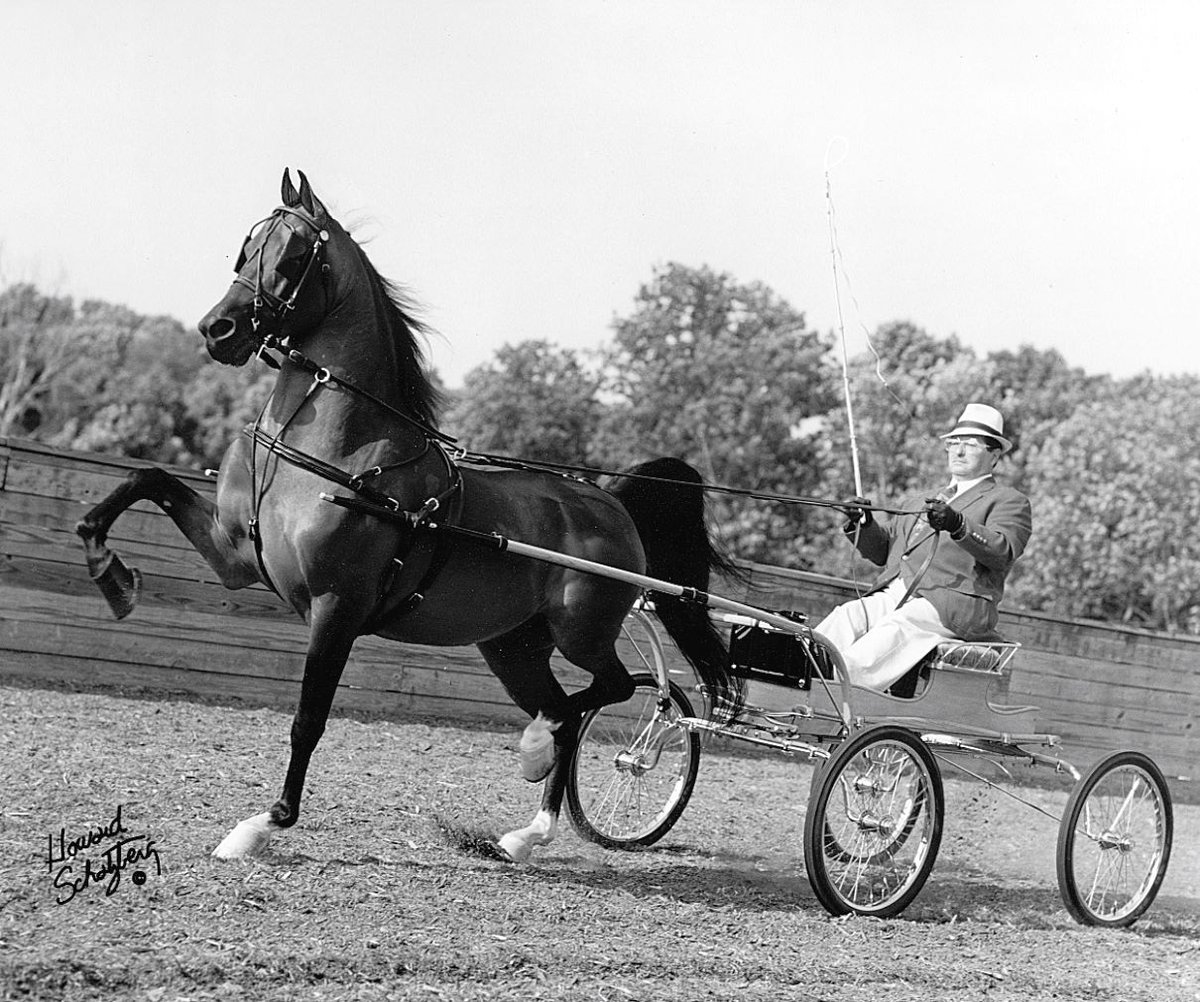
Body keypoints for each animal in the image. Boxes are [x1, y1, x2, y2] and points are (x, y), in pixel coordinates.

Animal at [75, 169, 735, 862]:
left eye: (291, 256)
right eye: (246, 247)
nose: (218, 329)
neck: (327, 452)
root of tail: (609, 502)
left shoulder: (336, 608)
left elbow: (308, 718)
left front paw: (263, 824)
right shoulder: (233, 555)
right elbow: (144, 479)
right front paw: (110, 574)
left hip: (582, 631)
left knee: (602, 697)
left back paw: (533, 755)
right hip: (511, 646)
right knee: (563, 711)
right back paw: (528, 832)